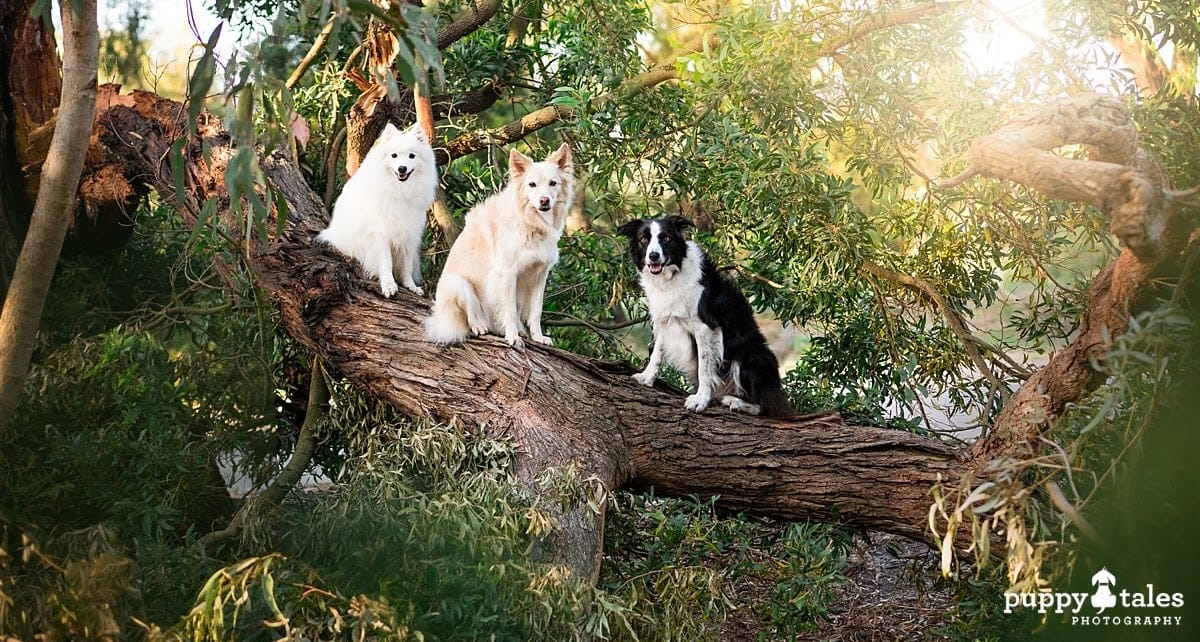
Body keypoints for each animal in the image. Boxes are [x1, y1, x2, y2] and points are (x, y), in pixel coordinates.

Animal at [316, 121, 439, 297]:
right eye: (394, 155)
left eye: (411, 156)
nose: (402, 168)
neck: (399, 191)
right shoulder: (381, 235)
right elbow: (386, 263)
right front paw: (388, 285)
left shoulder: (408, 235)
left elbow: (406, 266)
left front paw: (410, 286)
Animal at [427, 144, 576, 350]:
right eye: (532, 185)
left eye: (553, 183)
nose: (544, 200)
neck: (530, 223)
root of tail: (441, 320)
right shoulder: (507, 274)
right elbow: (510, 310)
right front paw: (512, 337)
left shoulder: (540, 275)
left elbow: (536, 312)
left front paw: (538, 337)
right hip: (457, 283)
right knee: (470, 316)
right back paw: (480, 326)